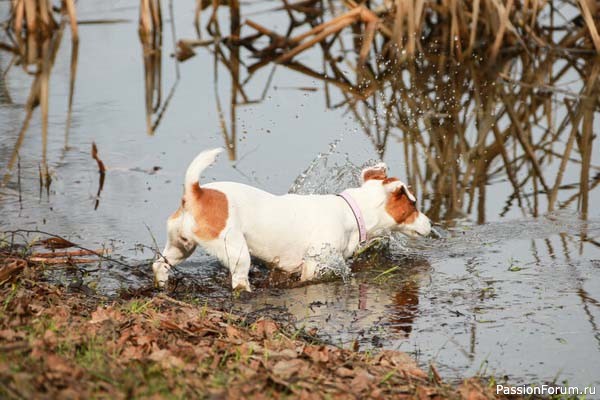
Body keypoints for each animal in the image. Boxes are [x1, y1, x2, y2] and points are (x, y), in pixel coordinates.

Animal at [151, 148, 432, 292]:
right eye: (414, 204)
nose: (430, 224)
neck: (352, 212)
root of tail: (195, 193)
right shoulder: (314, 264)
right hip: (238, 252)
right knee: (239, 283)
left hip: (180, 246)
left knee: (159, 265)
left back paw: (162, 286)